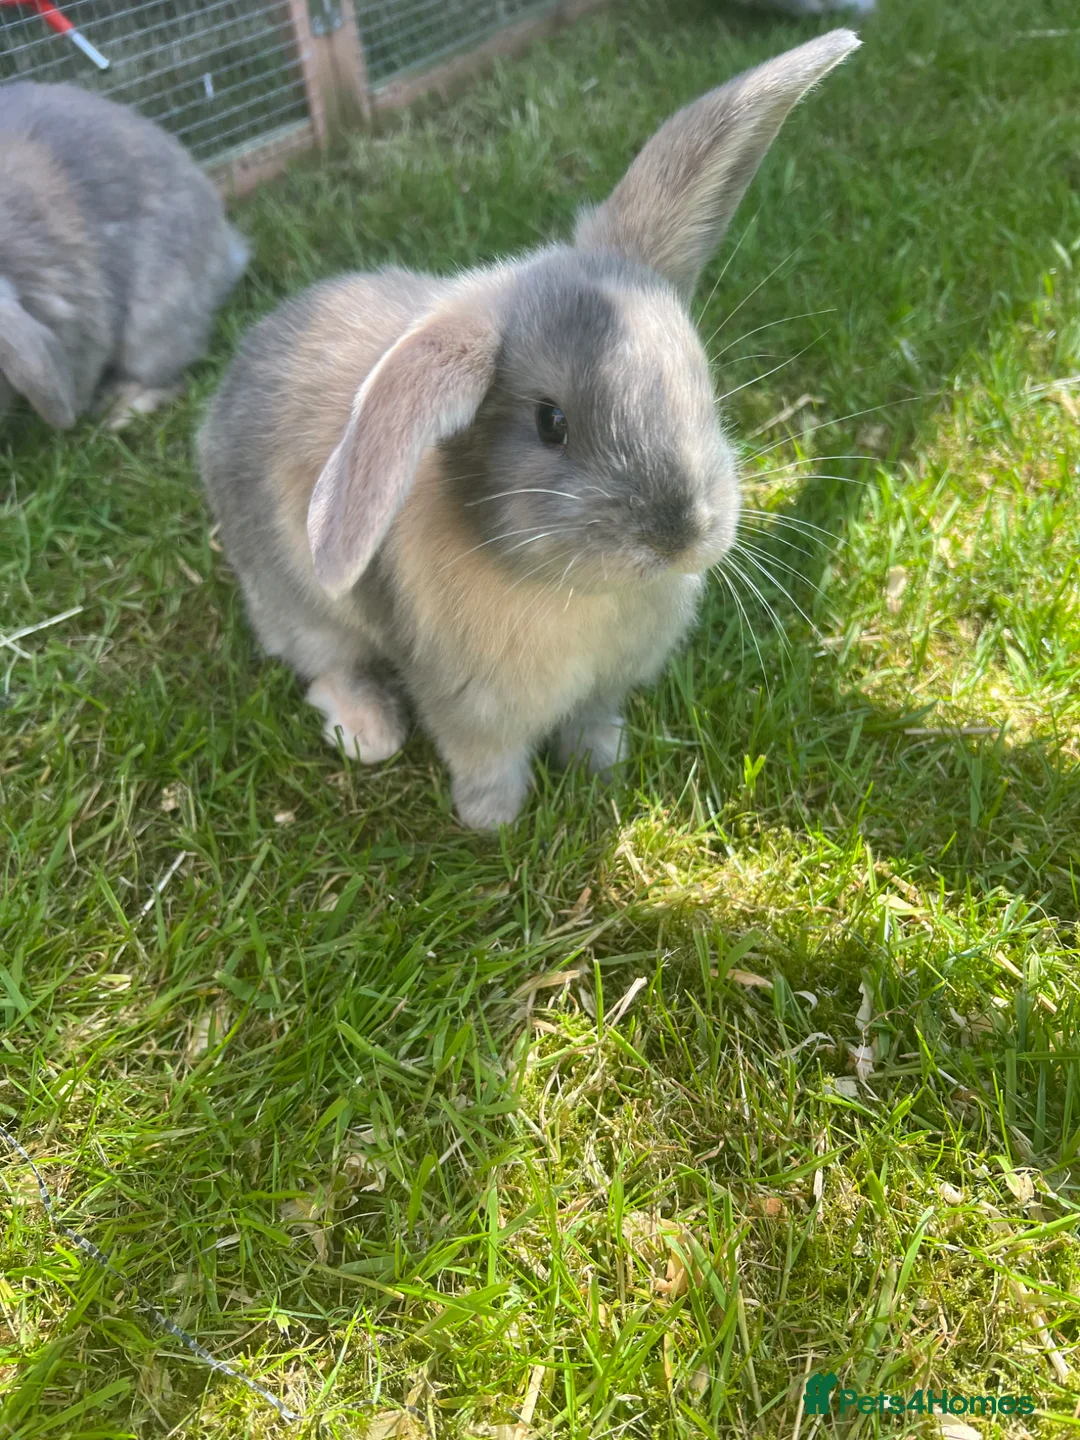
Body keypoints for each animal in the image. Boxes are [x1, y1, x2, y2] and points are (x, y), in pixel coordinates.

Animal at [199, 29, 859, 831]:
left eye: (697, 381)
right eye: (551, 423)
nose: (680, 536)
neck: (583, 594)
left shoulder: (603, 686)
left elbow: (592, 722)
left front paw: (605, 765)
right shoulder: (473, 711)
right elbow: (486, 762)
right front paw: (493, 821)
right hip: (301, 603)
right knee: (326, 664)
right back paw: (370, 731)